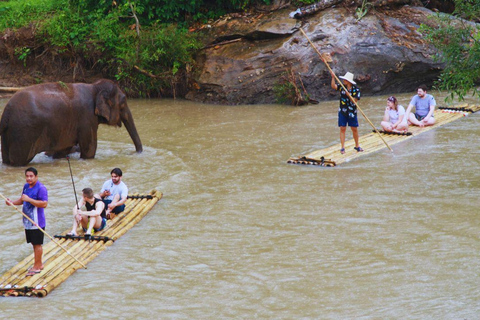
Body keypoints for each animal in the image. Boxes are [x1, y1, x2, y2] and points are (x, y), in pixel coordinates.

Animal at [0, 79, 142, 168]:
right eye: (123, 102)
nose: (138, 153)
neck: (94, 87)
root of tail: (6, 113)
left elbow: (63, 150)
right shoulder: (87, 118)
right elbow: (89, 149)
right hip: (24, 133)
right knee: (18, 161)